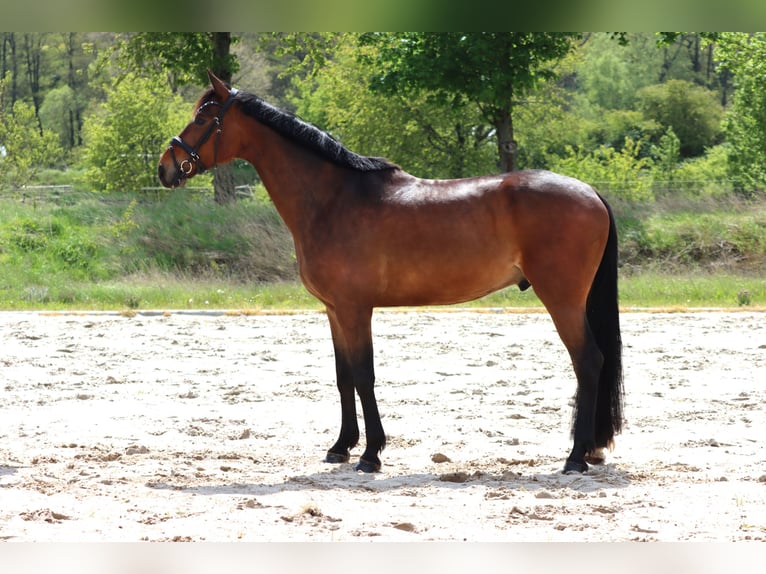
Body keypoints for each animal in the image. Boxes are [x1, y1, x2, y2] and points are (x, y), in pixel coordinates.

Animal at [156, 71, 624, 476]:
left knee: (588, 361)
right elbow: (344, 377)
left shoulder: (355, 308)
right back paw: (590, 451)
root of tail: (590, 192)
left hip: (562, 300)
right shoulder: (335, 310)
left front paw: (371, 454)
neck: (333, 199)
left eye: (202, 118)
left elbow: (365, 376)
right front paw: (340, 447)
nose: (165, 166)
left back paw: (576, 457)